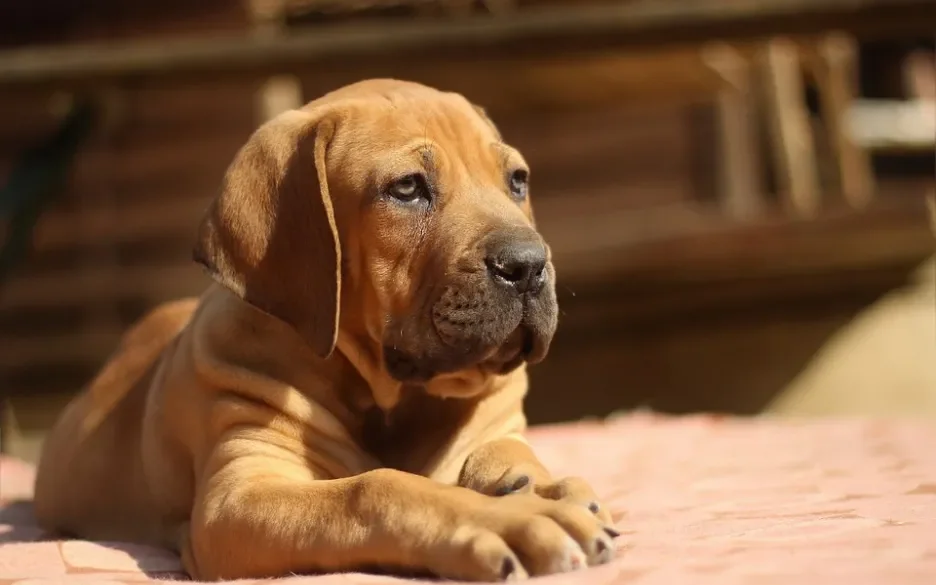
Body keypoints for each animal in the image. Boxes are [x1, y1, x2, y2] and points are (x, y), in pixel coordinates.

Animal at [36, 77, 616, 580]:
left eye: (517, 181)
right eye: (407, 188)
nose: (529, 266)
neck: (391, 398)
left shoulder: (495, 424)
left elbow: (510, 454)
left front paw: (544, 490)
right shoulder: (238, 497)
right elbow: (375, 489)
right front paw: (511, 519)